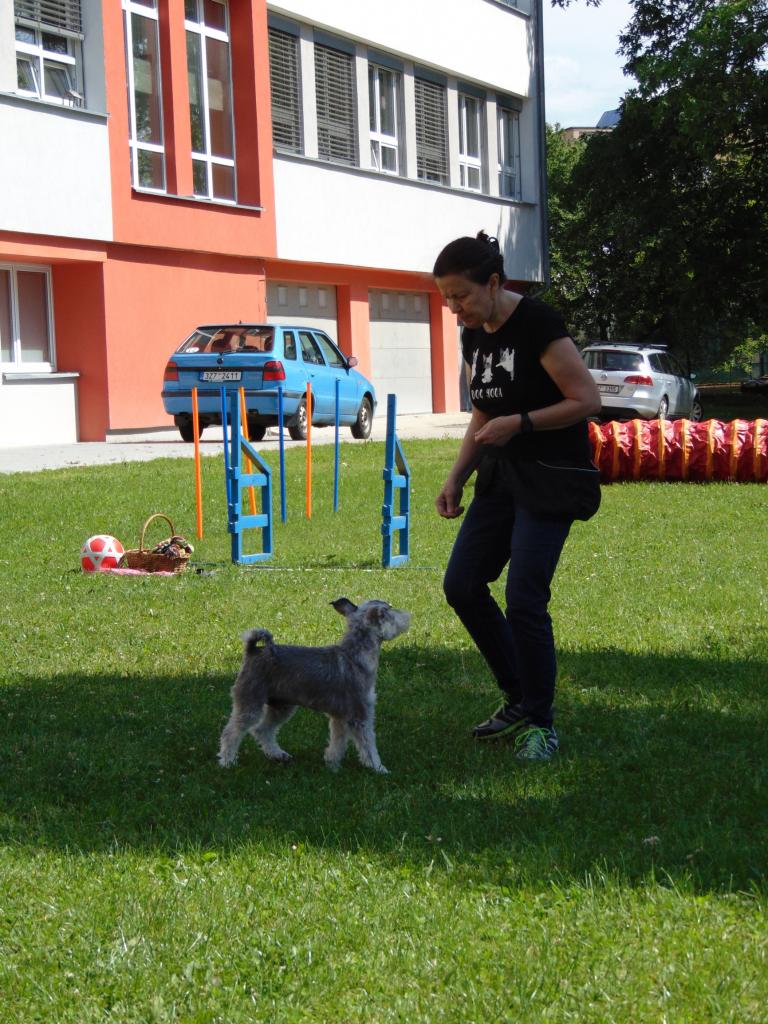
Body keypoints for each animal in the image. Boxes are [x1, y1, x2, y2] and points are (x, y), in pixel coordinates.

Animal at [218, 598, 411, 774]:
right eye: (389, 609)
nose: (408, 615)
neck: (355, 656)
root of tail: (253, 651)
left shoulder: (340, 717)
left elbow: (337, 744)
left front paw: (332, 766)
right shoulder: (360, 715)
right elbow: (368, 746)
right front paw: (379, 768)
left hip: (282, 707)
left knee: (262, 730)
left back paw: (278, 755)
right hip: (250, 702)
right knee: (232, 732)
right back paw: (227, 761)